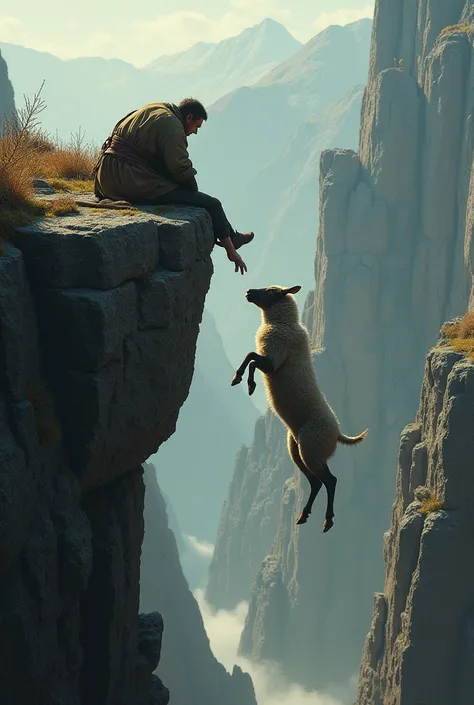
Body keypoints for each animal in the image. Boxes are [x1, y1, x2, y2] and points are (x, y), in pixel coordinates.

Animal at [231, 284, 368, 532]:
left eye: (271, 291)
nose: (249, 292)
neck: (282, 323)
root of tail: (338, 434)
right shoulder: (271, 359)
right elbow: (251, 357)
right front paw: (242, 380)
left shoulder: (274, 360)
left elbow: (252, 357)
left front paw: (246, 383)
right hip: (297, 449)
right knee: (315, 482)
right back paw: (304, 515)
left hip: (311, 448)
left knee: (329, 480)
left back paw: (327, 520)